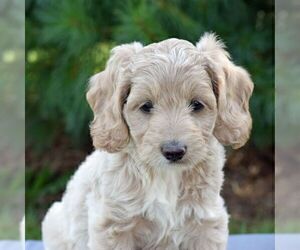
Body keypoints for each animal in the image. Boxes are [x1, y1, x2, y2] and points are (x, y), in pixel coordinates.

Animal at [42, 33, 253, 250]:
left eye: (197, 104)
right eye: (146, 106)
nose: (173, 152)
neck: (166, 176)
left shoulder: (206, 224)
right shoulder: (113, 226)